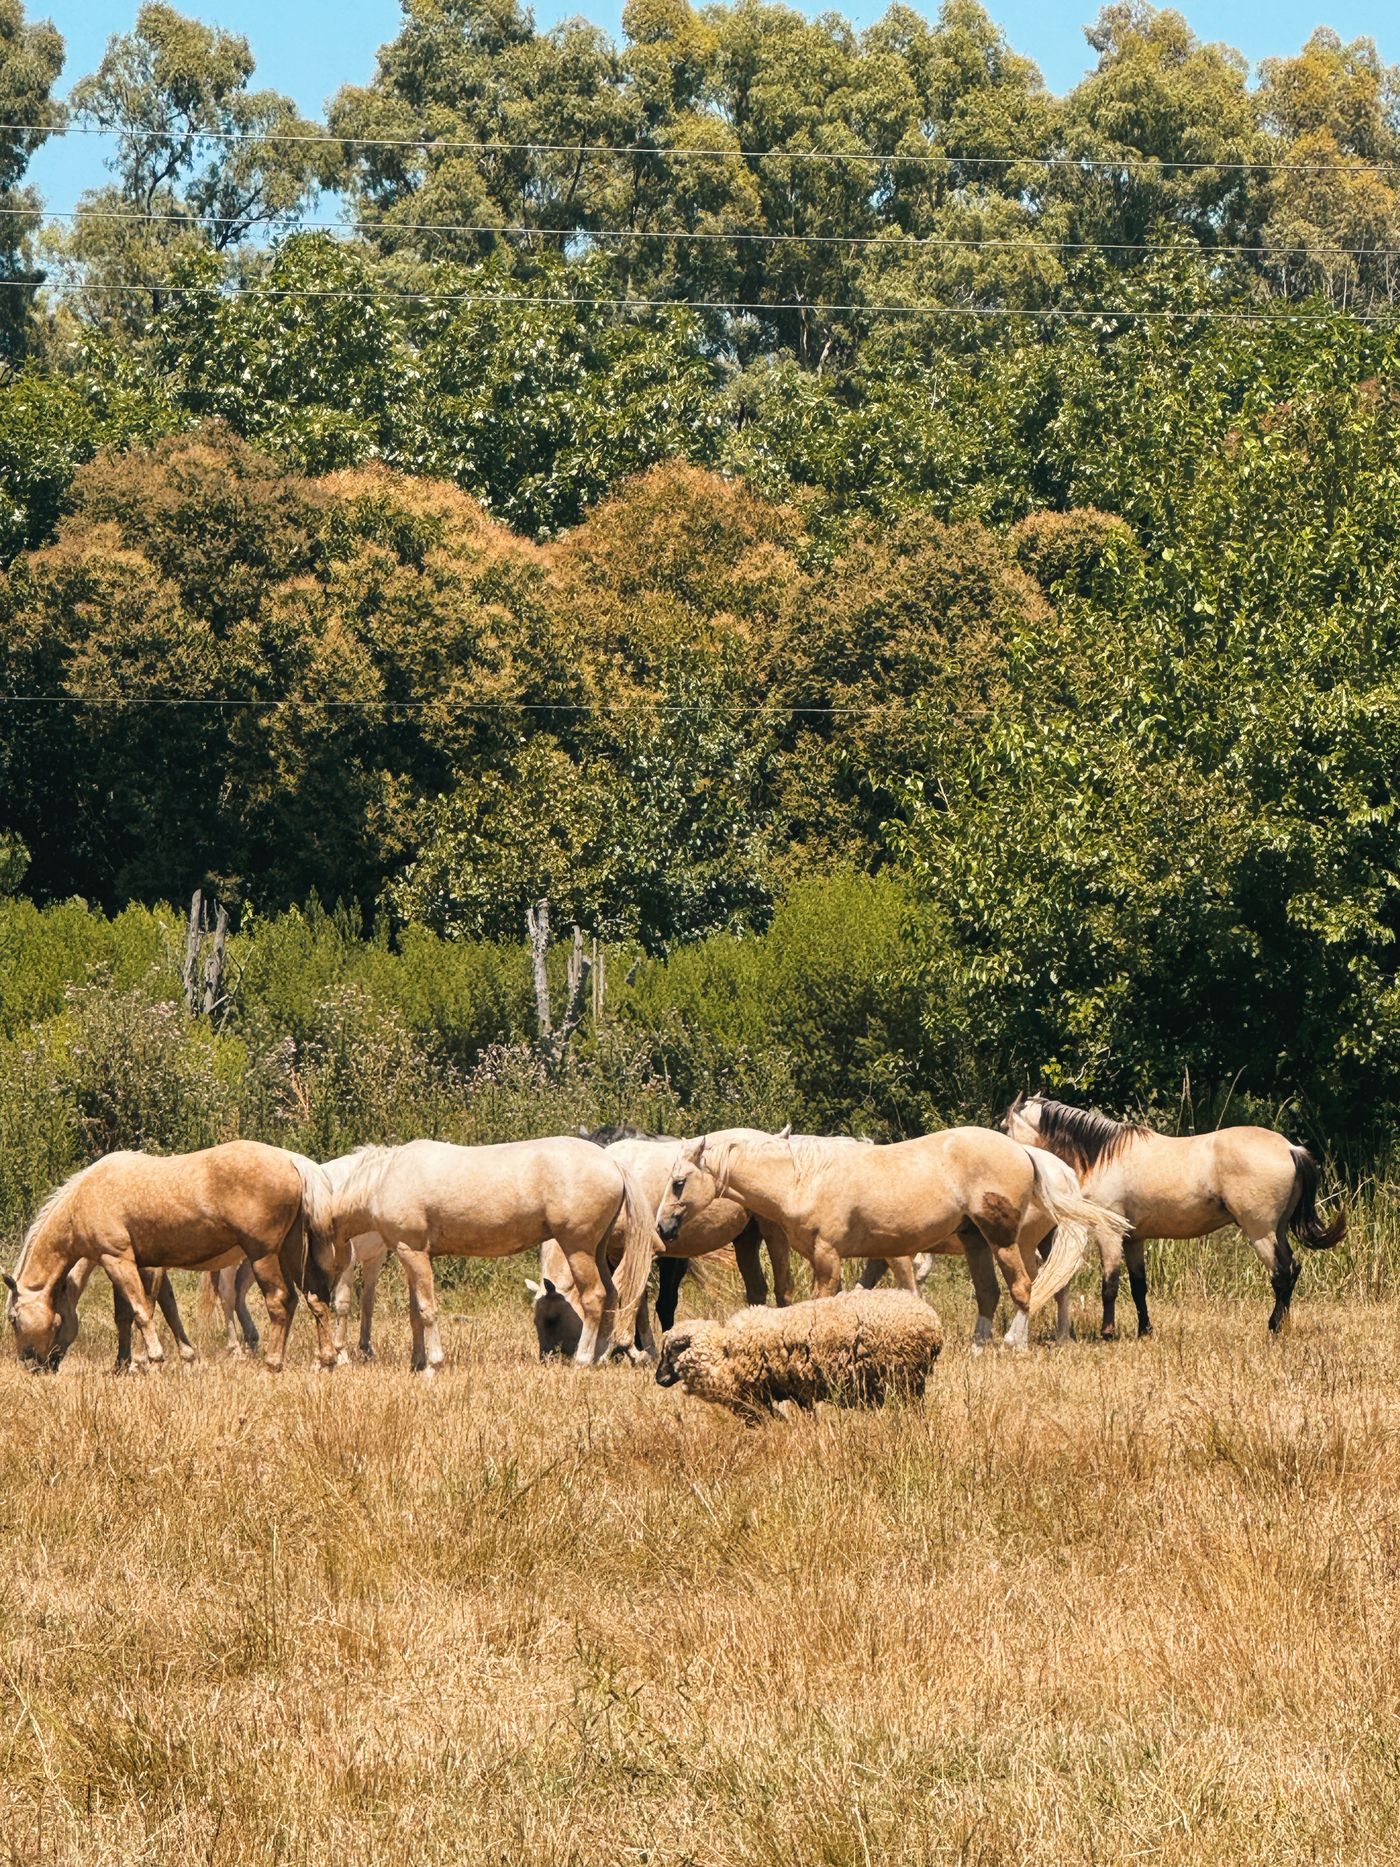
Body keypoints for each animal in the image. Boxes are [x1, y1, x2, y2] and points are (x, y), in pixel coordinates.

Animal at [654, 1288, 943, 1423]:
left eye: (670, 1351)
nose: (658, 1379)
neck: (724, 1353)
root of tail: (933, 1324)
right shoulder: (794, 1391)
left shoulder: (781, 1393)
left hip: (903, 1378)